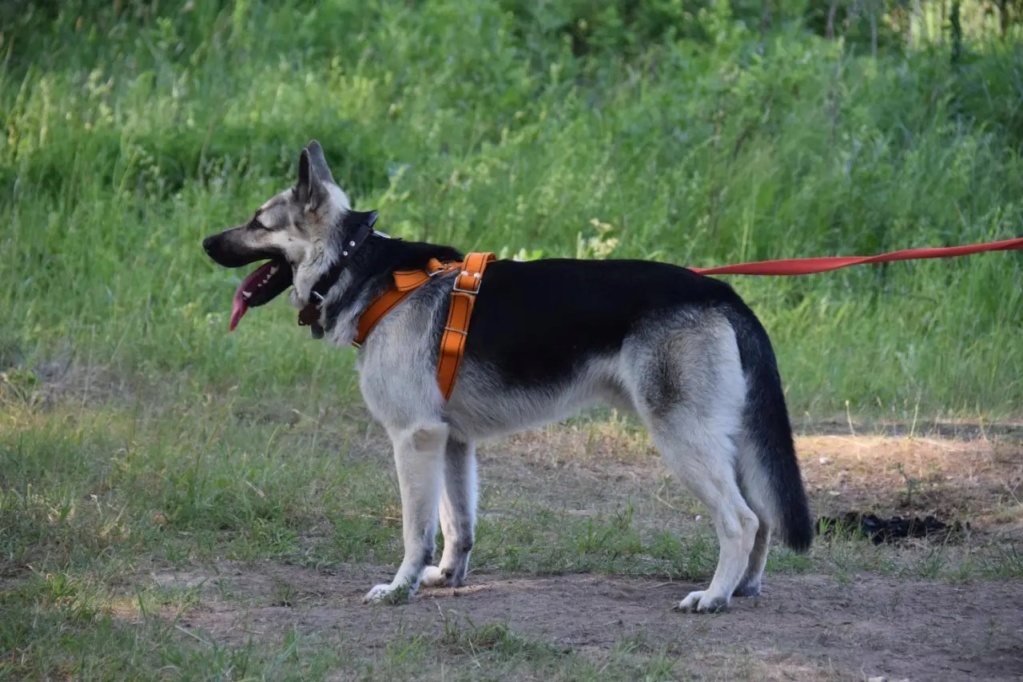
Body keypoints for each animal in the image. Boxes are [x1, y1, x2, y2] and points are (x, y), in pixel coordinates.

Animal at [203, 141, 814, 617]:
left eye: (258, 223)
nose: (205, 243)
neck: (364, 268)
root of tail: (722, 292)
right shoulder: (451, 442)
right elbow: (457, 525)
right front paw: (446, 578)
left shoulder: (414, 439)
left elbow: (415, 531)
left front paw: (400, 589)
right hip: (719, 442)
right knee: (762, 518)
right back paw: (743, 587)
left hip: (683, 440)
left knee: (740, 519)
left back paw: (713, 596)